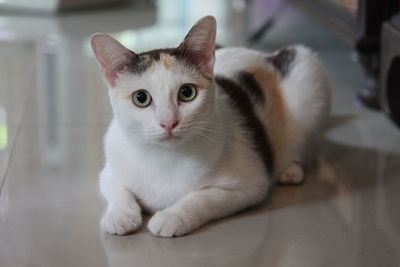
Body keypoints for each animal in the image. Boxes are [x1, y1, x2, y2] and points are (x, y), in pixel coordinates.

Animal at [91, 15, 332, 238]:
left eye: (187, 92)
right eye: (141, 98)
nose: (169, 122)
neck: (164, 157)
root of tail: (262, 54)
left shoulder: (249, 185)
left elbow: (203, 197)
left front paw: (172, 216)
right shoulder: (109, 170)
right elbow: (117, 189)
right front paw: (120, 215)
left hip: (308, 71)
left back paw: (291, 169)